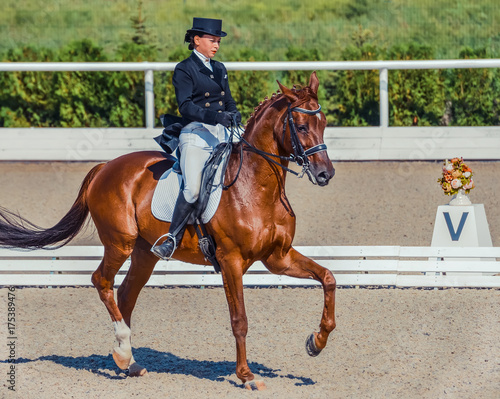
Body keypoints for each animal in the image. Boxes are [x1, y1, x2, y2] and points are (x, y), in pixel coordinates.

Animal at [0, 72, 338, 390]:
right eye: (301, 127)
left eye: (323, 124)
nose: (325, 174)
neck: (256, 186)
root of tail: (105, 167)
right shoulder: (231, 260)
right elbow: (239, 319)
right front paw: (246, 376)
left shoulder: (278, 258)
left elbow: (328, 278)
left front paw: (316, 342)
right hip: (119, 243)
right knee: (102, 282)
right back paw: (123, 352)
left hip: (144, 252)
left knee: (125, 294)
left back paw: (128, 360)